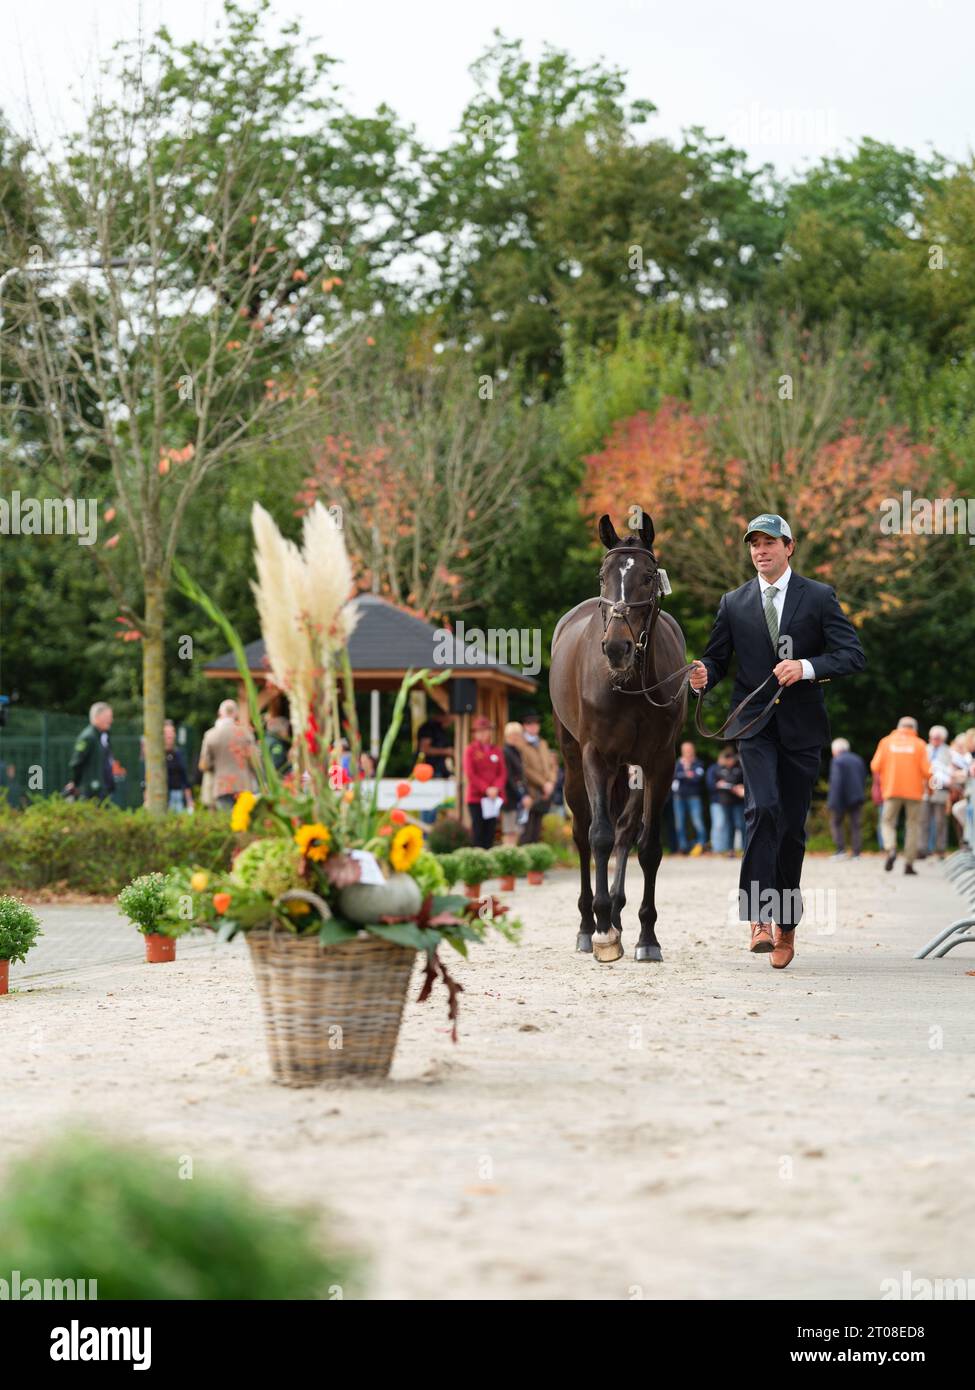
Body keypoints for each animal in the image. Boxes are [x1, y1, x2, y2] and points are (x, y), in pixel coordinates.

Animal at [550, 514, 687, 967]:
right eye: (602, 576)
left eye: (647, 576)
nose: (616, 647)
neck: (629, 684)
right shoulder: (595, 756)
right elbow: (598, 836)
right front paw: (602, 932)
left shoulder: (660, 763)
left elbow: (648, 845)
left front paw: (646, 934)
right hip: (573, 761)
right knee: (583, 831)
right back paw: (589, 924)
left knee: (626, 830)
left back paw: (618, 914)